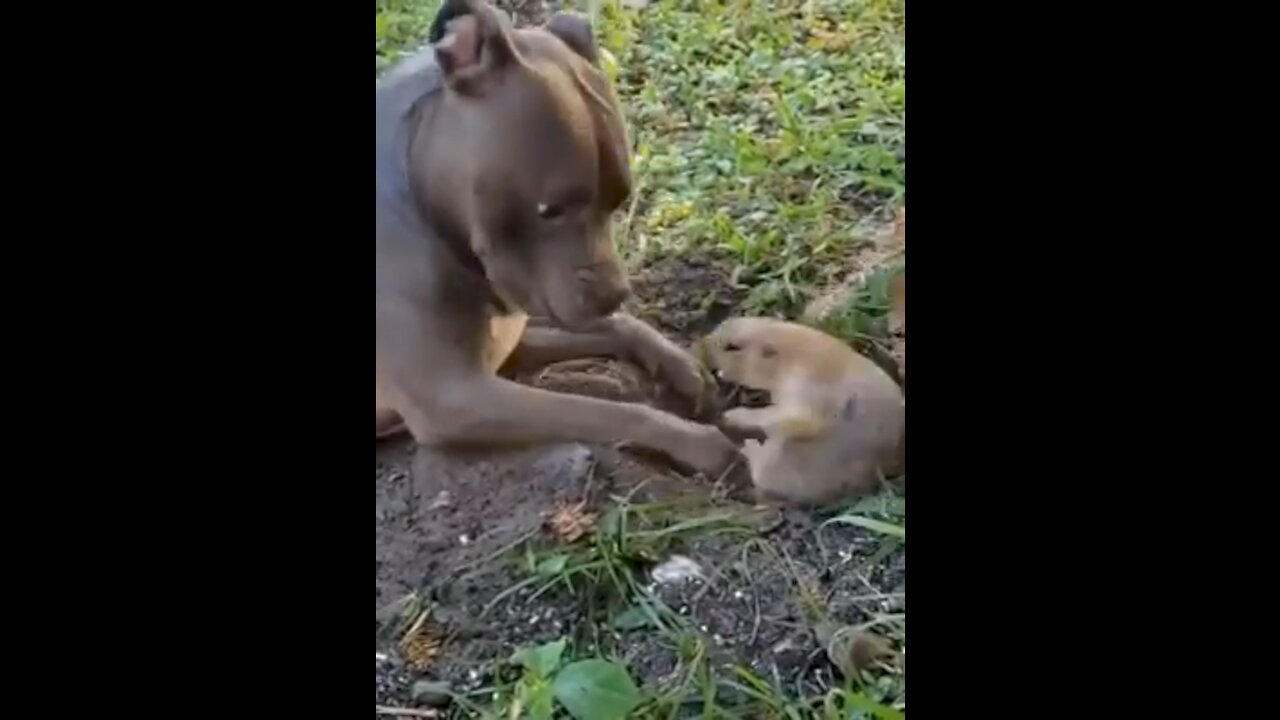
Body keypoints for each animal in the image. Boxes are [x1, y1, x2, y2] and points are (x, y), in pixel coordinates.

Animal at [373, 1, 742, 476]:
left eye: (620, 198)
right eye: (549, 210)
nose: (615, 293)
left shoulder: (507, 349)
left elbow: (618, 328)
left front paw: (679, 365)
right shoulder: (455, 397)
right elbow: (609, 412)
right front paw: (699, 441)